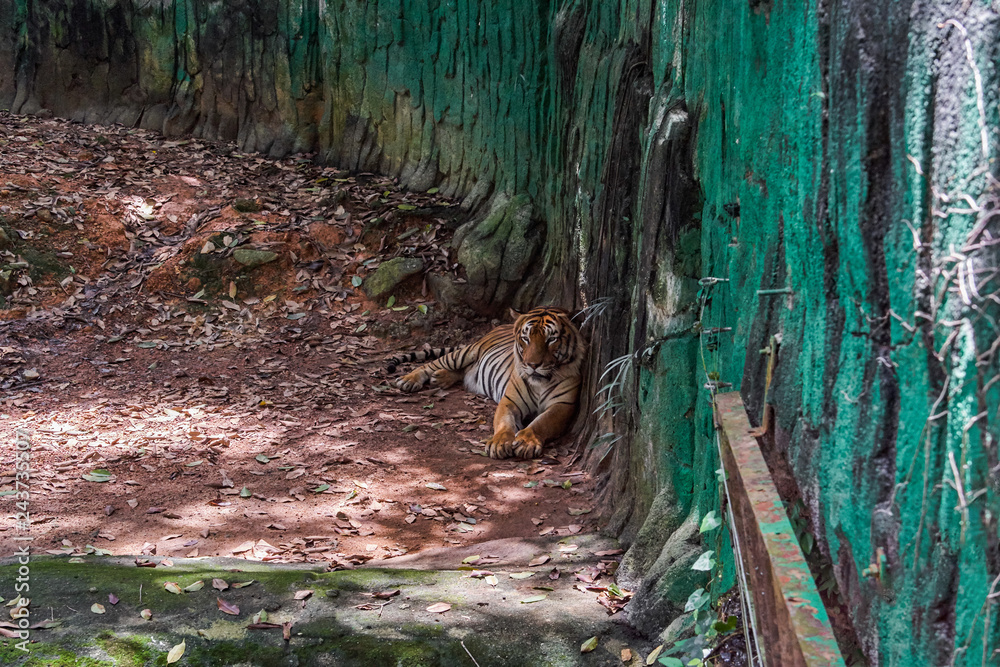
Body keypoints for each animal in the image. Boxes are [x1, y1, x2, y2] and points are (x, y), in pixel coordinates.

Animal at [390, 308, 584, 460]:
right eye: (526, 339)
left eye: (551, 340)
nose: (532, 365)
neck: (540, 383)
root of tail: (501, 325)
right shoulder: (510, 401)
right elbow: (504, 423)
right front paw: (499, 443)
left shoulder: (563, 405)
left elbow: (542, 423)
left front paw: (526, 442)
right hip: (465, 353)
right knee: (430, 364)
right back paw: (408, 380)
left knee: (463, 371)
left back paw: (440, 378)